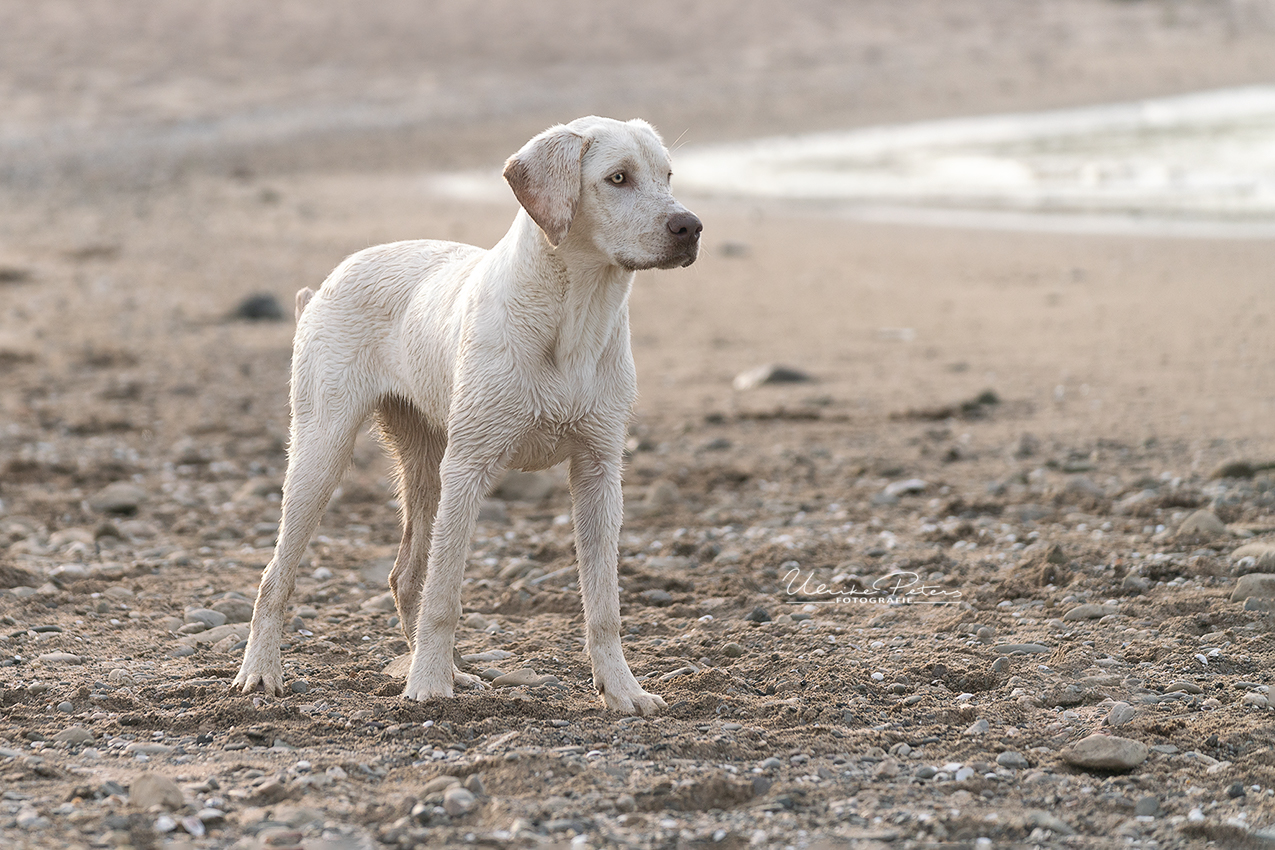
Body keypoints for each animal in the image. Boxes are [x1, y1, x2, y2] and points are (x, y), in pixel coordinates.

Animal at [234, 111, 703, 713]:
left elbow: (604, 605)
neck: (573, 317)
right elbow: (446, 594)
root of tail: (328, 282)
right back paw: (261, 672)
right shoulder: (469, 466)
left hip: (426, 467)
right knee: (278, 576)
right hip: (324, 451)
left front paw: (622, 690)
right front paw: (429, 685)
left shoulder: (599, 472)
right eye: (617, 178)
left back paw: (445, 669)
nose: (691, 227)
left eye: (667, 175)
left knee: (406, 577)